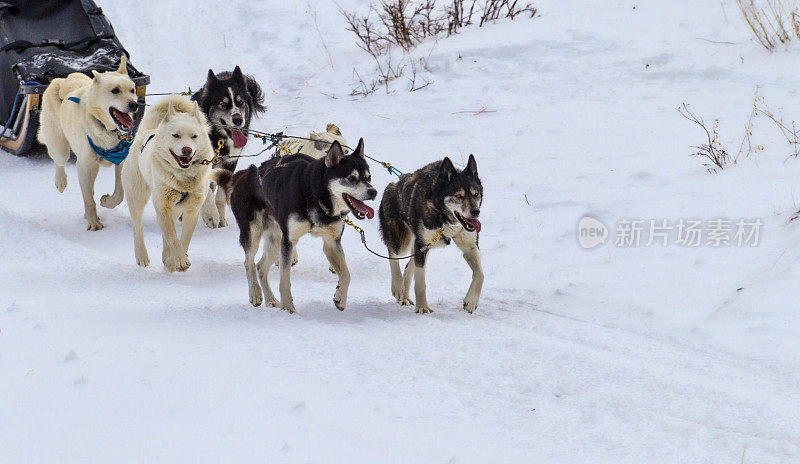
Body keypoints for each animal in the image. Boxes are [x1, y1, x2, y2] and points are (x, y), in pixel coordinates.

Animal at [36, 56, 140, 230]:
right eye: (115, 90)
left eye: (132, 90)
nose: (134, 104)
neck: (105, 129)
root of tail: (62, 80)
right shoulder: (83, 165)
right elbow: (88, 200)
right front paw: (93, 222)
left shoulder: (120, 161)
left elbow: (119, 193)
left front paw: (107, 202)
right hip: (60, 148)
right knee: (60, 162)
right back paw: (61, 181)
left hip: (94, 165)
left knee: (90, 186)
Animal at [120, 96, 214, 274]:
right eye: (176, 135)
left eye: (194, 136)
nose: (187, 150)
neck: (183, 179)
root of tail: (145, 132)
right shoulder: (163, 207)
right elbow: (172, 237)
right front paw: (181, 260)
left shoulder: (192, 211)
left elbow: (183, 239)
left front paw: (178, 259)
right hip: (137, 198)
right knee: (138, 227)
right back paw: (142, 256)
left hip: (175, 209)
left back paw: (167, 259)